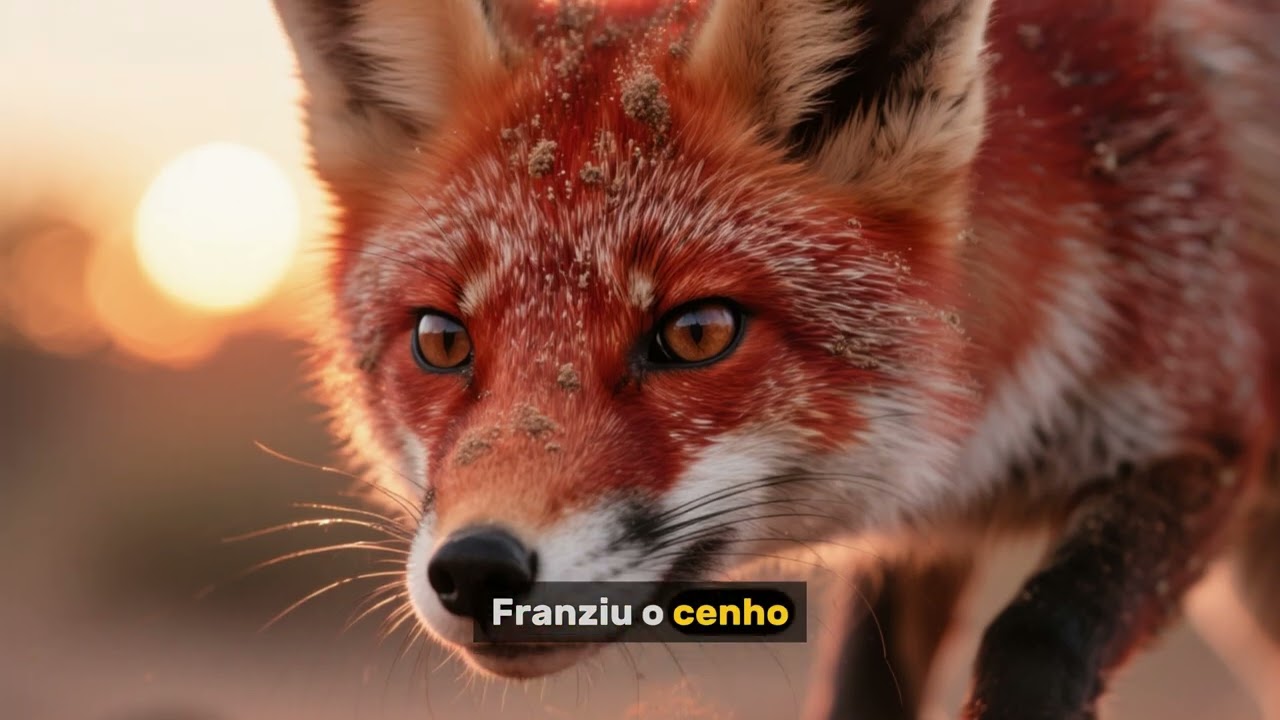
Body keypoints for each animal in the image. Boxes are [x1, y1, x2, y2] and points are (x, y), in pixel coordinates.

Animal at [270, 0, 1280, 718]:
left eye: (698, 333)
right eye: (441, 341)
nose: (477, 568)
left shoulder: (1209, 433)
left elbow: (1041, 633)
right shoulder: (920, 537)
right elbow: (862, 690)